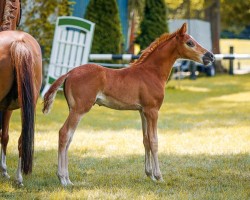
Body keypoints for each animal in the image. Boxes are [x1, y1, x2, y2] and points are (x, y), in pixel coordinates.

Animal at [43, 22, 215, 185]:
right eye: (190, 42)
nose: (211, 56)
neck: (151, 72)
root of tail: (69, 72)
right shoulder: (153, 111)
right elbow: (154, 141)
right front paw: (159, 176)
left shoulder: (143, 111)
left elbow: (146, 140)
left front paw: (150, 175)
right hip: (79, 109)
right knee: (64, 133)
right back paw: (64, 179)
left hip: (73, 109)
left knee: (69, 137)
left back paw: (66, 178)